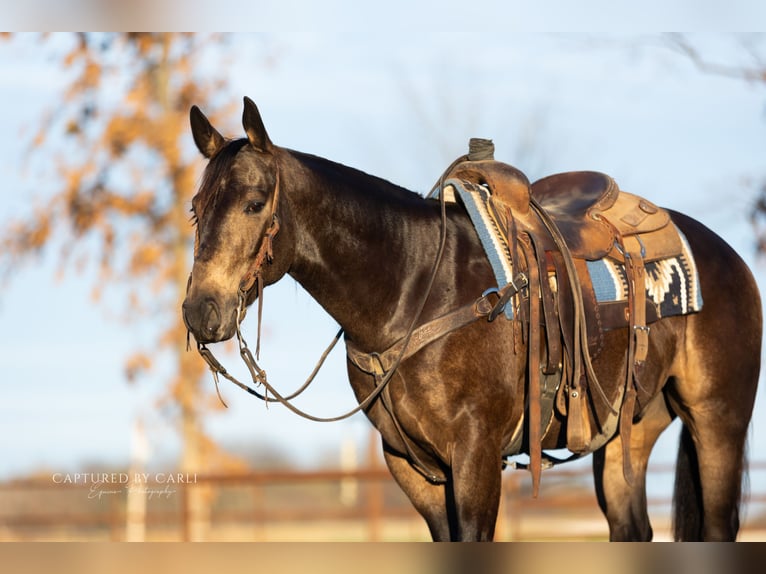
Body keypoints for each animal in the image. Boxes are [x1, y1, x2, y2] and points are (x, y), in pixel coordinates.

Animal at [181, 97, 761, 541]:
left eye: (256, 202)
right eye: (195, 207)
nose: (200, 310)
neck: (414, 289)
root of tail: (726, 254)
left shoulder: (477, 457)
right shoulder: (413, 468)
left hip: (718, 420)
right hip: (629, 430)